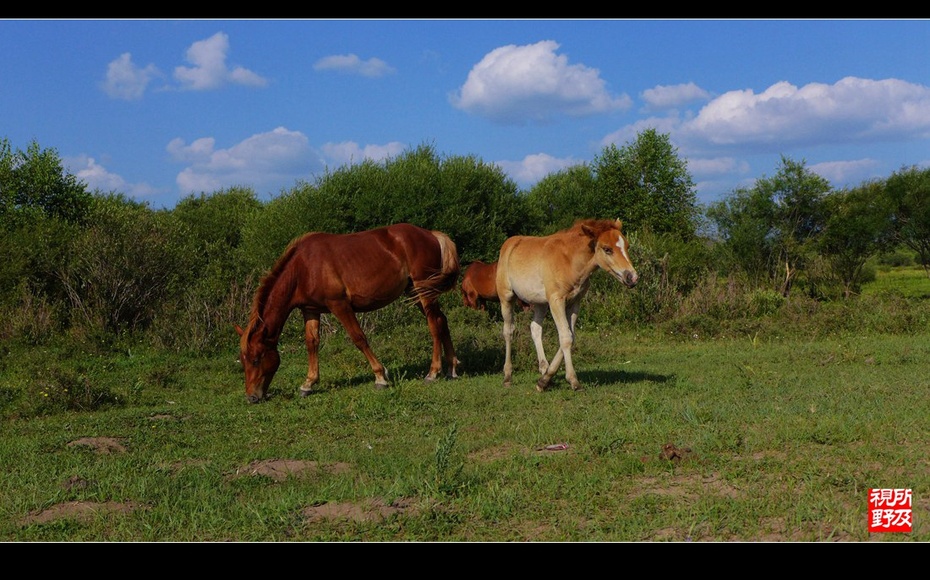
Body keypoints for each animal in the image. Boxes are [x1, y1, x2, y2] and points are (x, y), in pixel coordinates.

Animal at [236, 222, 460, 404]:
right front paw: (308, 383)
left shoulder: (340, 305)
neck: (303, 268)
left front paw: (380, 377)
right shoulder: (310, 310)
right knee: (442, 320)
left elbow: (358, 338)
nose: (251, 397)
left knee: (433, 324)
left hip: (424, 290)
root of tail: (431, 234)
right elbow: (312, 343)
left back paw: (433, 372)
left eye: (256, 359)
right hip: (416, 292)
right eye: (244, 360)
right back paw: (452, 368)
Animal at [492, 220, 640, 392]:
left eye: (627, 246)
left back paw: (544, 369)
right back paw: (508, 376)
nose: (632, 277)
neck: (570, 260)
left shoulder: (574, 303)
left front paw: (544, 380)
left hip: (540, 303)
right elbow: (565, 337)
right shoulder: (557, 300)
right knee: (508, 331)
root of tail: (509, 244)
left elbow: (571, 336)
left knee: (535, 328)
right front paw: (574, 381)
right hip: (507, 297)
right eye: (607, 249)